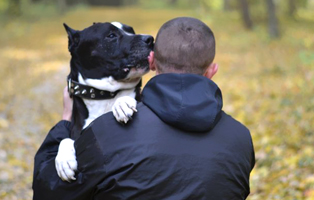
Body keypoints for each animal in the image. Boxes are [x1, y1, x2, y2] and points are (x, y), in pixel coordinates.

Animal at [54, 21, 154, 181]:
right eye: (111, 35)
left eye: (131, 31)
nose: (150, 39)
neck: (104, 95)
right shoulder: (76, 129)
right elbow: (65, 139)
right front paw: (63, 160)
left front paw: (122, 103)